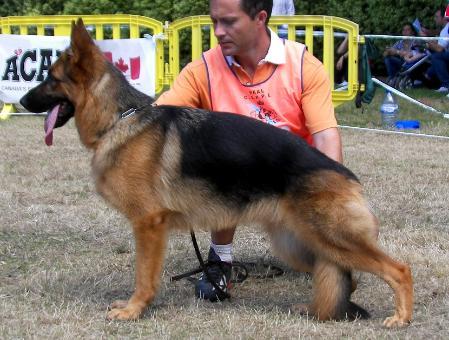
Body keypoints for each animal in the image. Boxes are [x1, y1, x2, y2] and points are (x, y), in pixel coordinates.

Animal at [21, 19, 412, 326]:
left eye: (51, 79)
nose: (22, 101)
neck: (119, 118)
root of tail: (347, 176)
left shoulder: (148, 226)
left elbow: (143, 276)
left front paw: (134, 311)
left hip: (331, 238)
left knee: (399, 270)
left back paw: (401, 318)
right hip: (302, 243)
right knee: (343, 276)